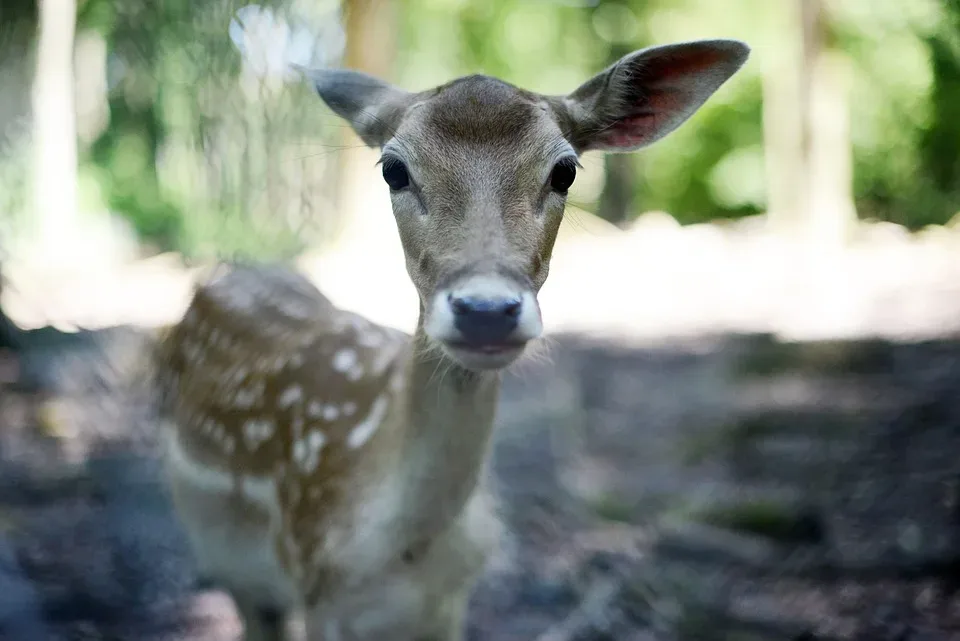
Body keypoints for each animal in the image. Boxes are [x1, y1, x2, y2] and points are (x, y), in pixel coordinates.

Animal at [156, 38, 752, 640]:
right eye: (393, 169)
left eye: (565, 170)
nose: (485, 310)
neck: (401, 550)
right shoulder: (316, 586)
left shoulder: (451, 601)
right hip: (233, 564)